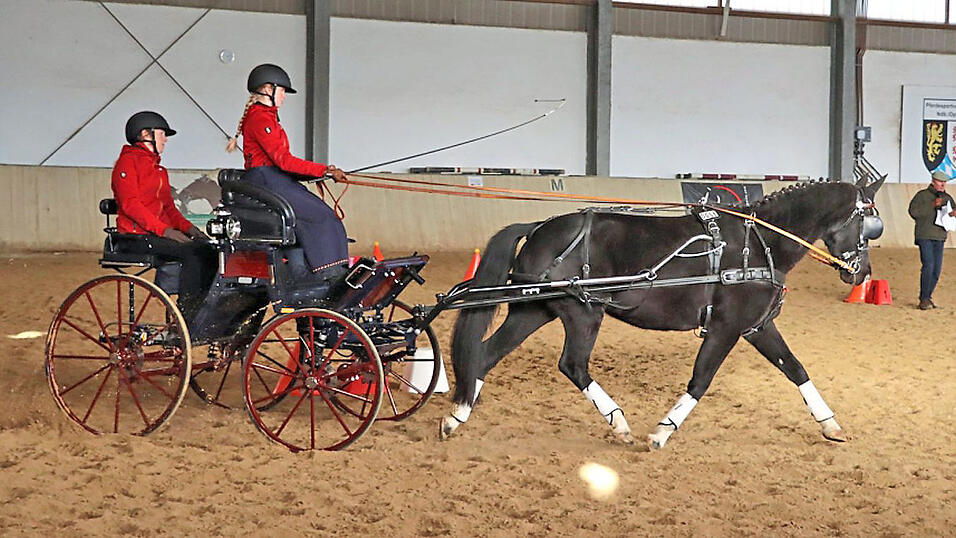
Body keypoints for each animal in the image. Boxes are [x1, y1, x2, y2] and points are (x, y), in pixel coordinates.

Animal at [439, 177, 885, 449]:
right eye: (868, 222)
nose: (861, 273)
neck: (759, 244)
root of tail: (537, 227)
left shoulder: (757, 327)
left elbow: (795, 369)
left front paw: (830, 424)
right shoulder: (726, 328)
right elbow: (701, 380)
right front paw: (661, 432)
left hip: (534, 310)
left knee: (486, 353)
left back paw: (457, 415)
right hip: (583, 313)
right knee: (573, 365)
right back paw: (619, 423)